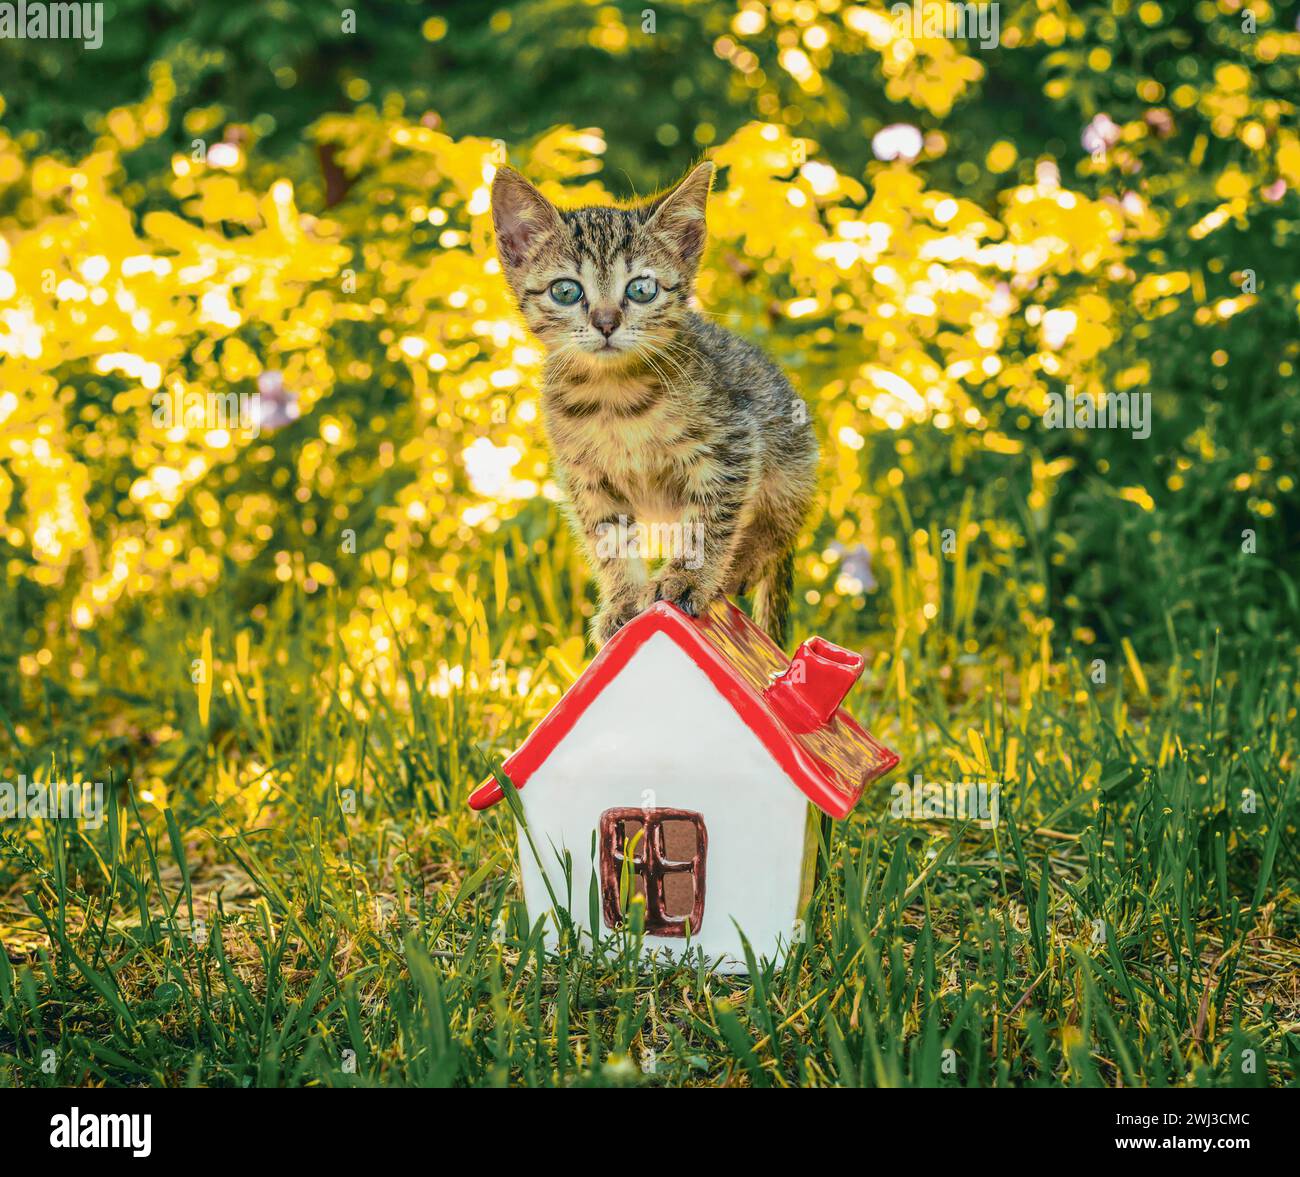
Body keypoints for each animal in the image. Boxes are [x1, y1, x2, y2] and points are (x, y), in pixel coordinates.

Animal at [491, 160, 816, 647]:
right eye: (566, 291)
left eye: (641, 289)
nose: (606, 322)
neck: (613, 398)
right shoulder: (586, 477)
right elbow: (607, 538)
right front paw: (623, 600)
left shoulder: (733, 442)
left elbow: (709, 518)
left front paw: (687, 577)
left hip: (791, 459)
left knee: (778, 526)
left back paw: (739, 564)